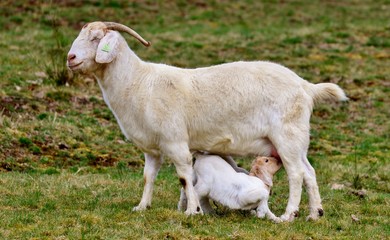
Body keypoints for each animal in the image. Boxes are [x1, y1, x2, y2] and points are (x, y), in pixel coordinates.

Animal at [66, 21, 348, 222]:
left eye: (96, 38)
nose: (70, 58)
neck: (139, 82)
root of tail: (306, 86)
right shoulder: (152, 148)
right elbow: (148, 177)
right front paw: (142, 207)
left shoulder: (176, 141)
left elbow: (184, 177)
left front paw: (192, 211)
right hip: (296, 140)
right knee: (309, 172)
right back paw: (315, 213)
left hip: (286, 137)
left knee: (296, 174)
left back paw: (290, 215)